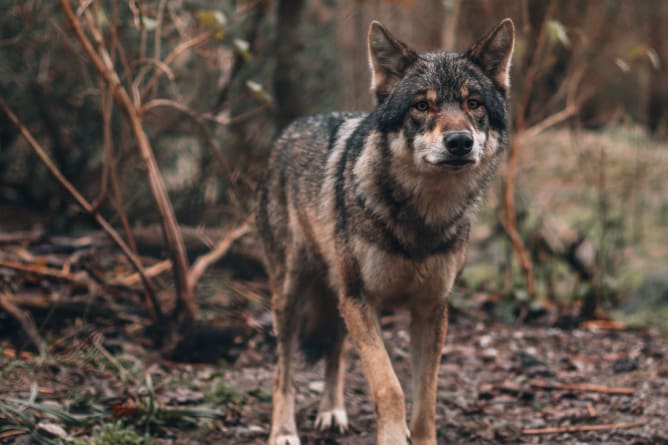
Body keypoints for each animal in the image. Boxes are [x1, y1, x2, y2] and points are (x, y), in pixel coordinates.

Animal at [258, 18, 516, 444]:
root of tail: (289, 130)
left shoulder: (430, 310)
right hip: (292, 295)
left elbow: (426, 397)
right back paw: (283, 431)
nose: (459, 142)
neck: (422, 219)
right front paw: (394, 436)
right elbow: (389, 386)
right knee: (284, 370)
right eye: (422, 106)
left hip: (336, 295)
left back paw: (332, 412)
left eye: (474, 104)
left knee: (335, 350)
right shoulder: (360, 299)